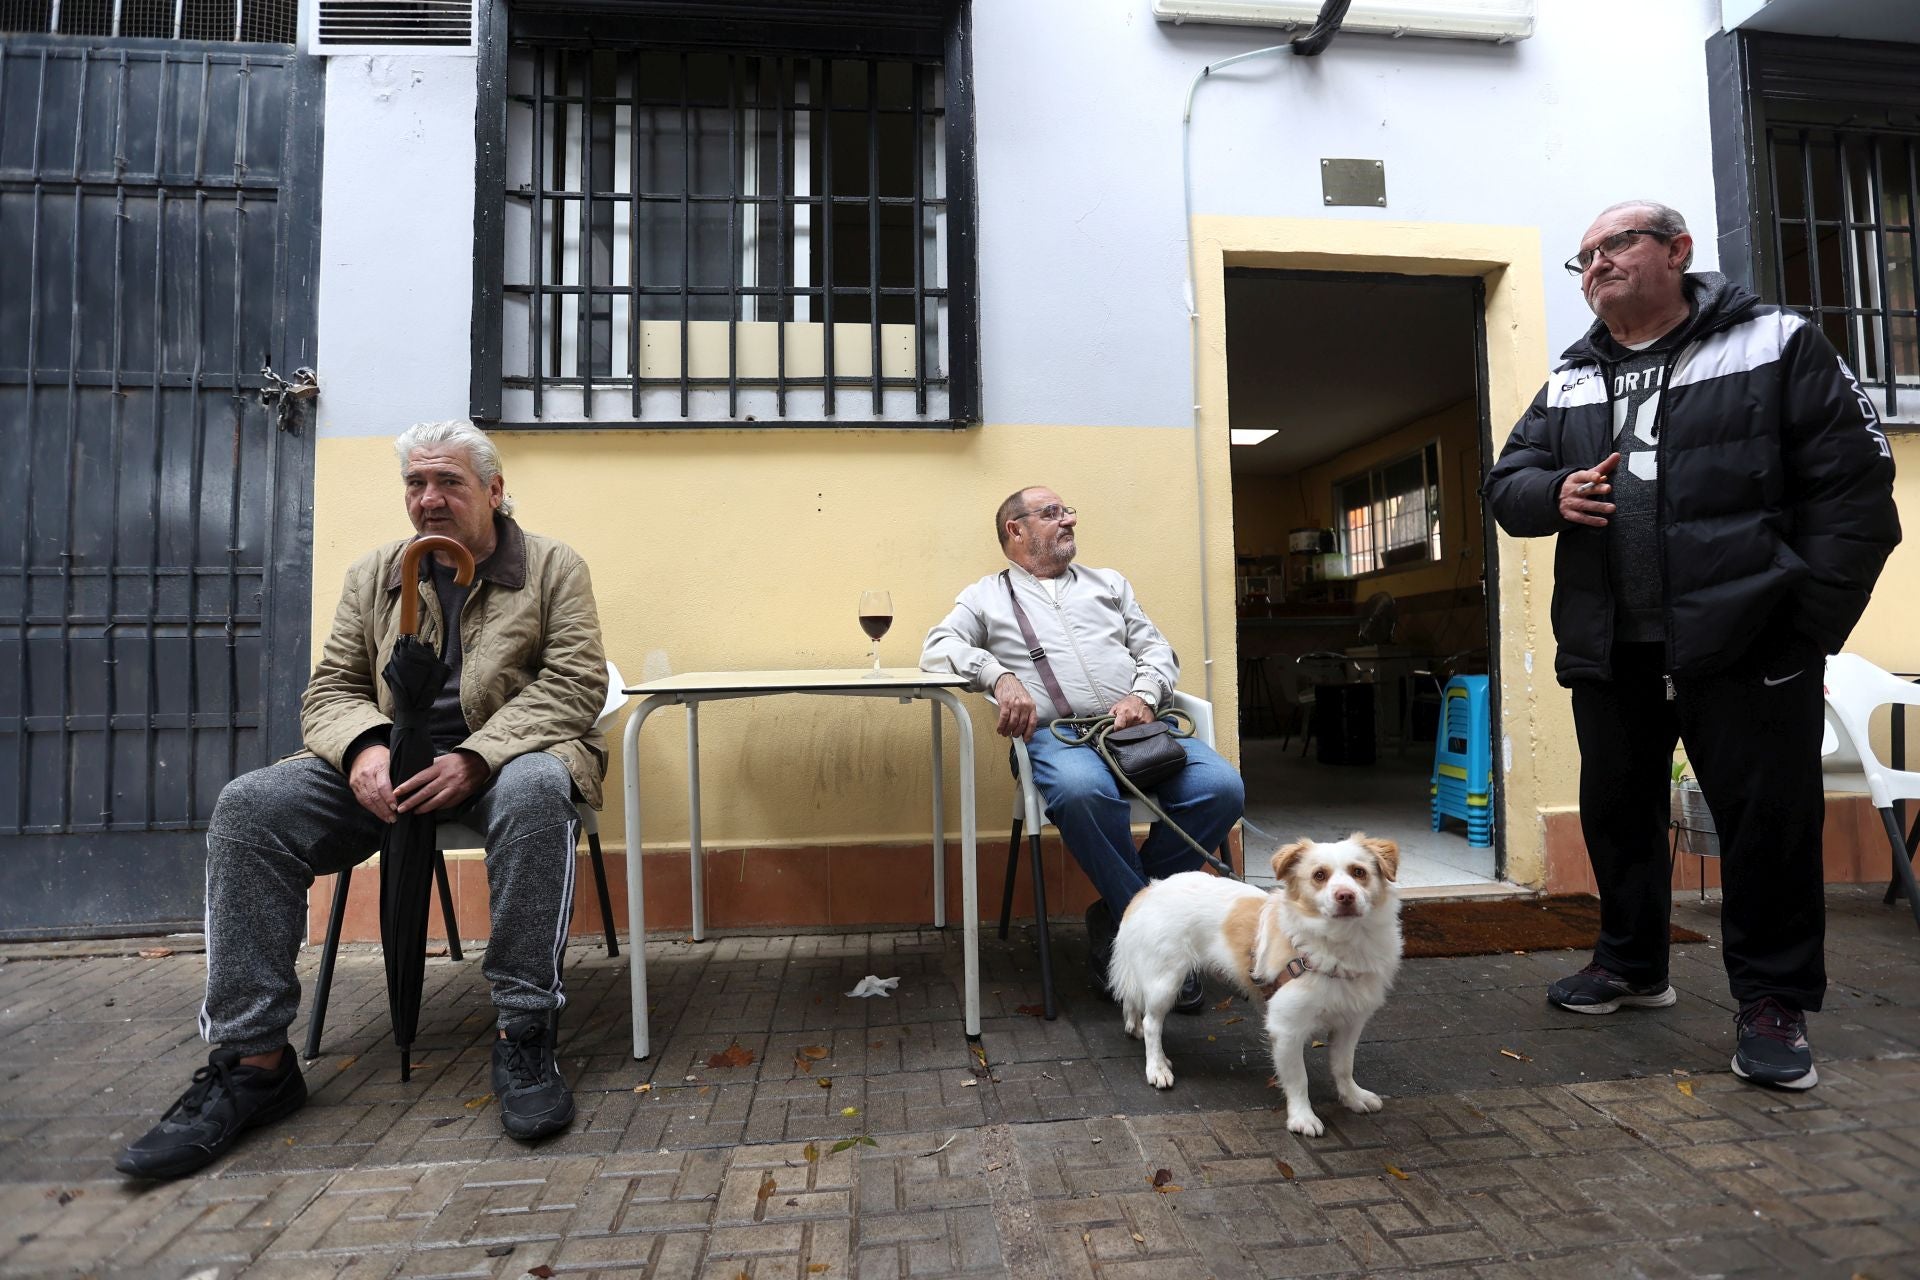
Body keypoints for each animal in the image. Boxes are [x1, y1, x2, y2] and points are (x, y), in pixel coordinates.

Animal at [1105, 836, 1405, 1136]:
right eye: (1319, 875)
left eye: (1359, 872)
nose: (1345, 896)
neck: (1338, 947)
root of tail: (1150, 888)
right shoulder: (1286, 1029)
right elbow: (1299, 1079)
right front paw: (1302, 1117)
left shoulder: (1350, 1023)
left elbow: (1343, 1066)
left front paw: (1353, 1097)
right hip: (1165, 982)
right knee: (1152, 1024)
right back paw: (1157, 1067)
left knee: (1134, 1004)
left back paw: (1137, 1031)